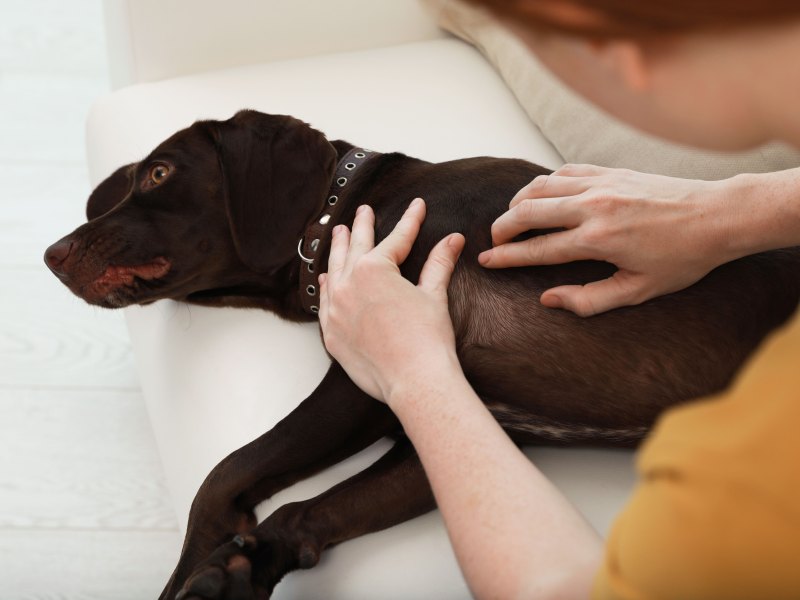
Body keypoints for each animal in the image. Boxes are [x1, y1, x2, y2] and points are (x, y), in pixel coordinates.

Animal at [47, 111, 800, 596]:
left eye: (159, 173)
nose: (51, 255)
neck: (341, 213)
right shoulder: (448, 429)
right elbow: (303, 513)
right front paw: (241, 569)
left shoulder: (362, 377)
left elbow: (223, 473)